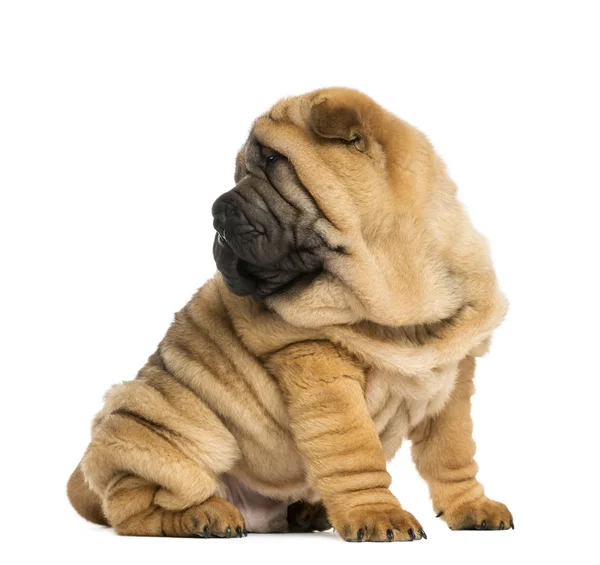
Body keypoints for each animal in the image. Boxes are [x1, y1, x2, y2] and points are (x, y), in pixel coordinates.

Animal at [68, 86, 512, 540]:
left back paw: (306, 513)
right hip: (163, 429)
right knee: (134, 506)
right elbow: (356, 453)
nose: (216, 212)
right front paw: (377, 514)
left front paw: (472, 507)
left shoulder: (454, 378)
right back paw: (205, 515)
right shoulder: (320, 368)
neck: (395, 302)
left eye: (272, 162)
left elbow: (453, 454)